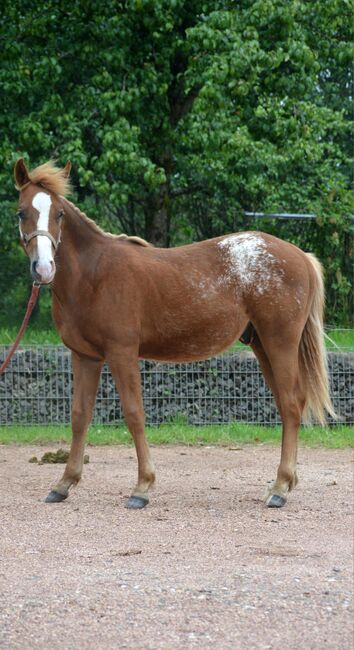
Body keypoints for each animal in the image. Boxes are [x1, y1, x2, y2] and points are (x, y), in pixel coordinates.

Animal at [13, 157, 334, 506]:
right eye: (21, 212)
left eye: (58, 213)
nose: (43, 268)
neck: (94, 274)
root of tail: (300, 256)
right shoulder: (85, 356)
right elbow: (79, 415)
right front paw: (64, 483)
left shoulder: (122, 352)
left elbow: (134, 414)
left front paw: (142, 487)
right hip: (262, 345)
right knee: (286, 405)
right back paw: (285, 483)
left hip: (280, 343)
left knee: (291, 404)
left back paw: (279, 488)